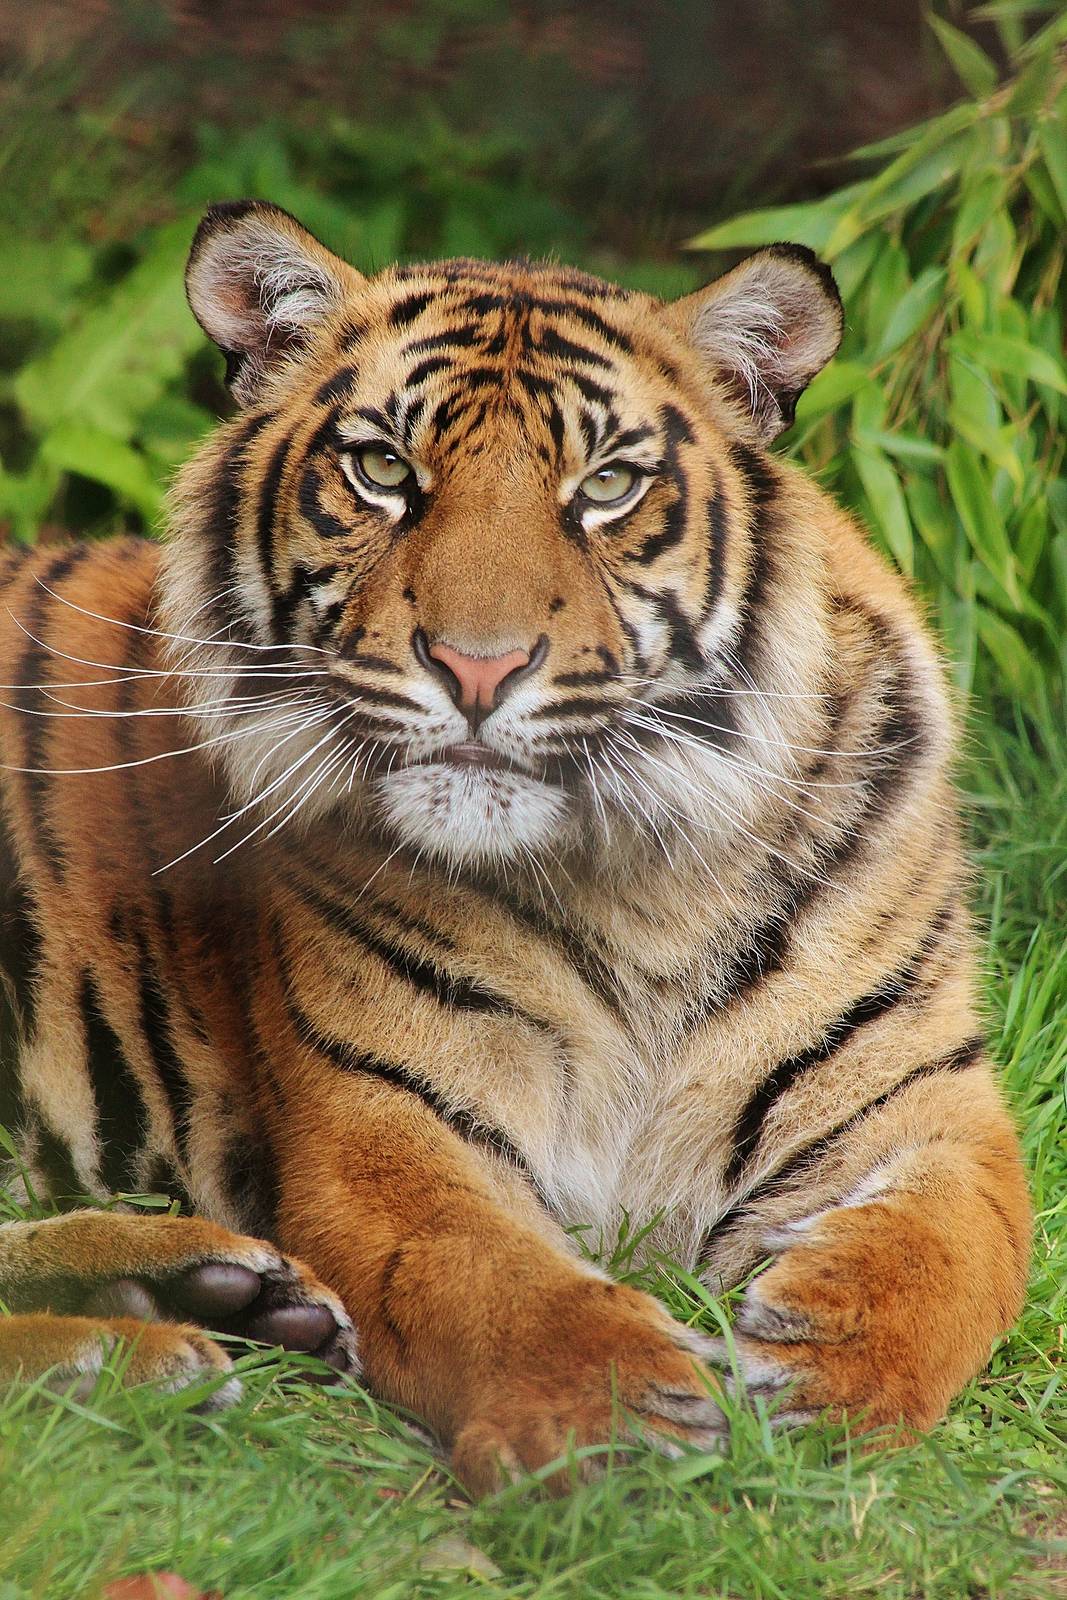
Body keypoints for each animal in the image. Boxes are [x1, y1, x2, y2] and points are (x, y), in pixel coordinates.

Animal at [0, 200, 1030, 1495]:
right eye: (384, 470)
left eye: (607, 486)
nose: (475, 667)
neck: (645, 886)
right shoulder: (387, 1129)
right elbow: (491, 1281)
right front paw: (622, 1424)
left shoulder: (930, 1104)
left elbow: (956, 1253)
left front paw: (819, 1381)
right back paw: (137, 1354)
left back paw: (210, 1289)